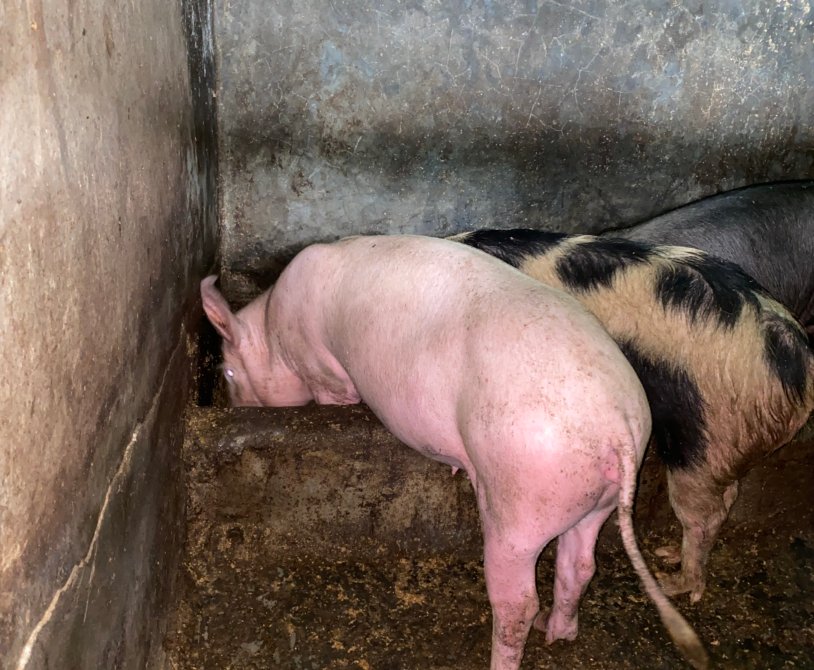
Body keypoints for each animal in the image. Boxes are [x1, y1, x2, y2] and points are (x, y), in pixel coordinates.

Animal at [201, 234, 707, 670]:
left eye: (228, 373)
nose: (233, 404)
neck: (273, 330)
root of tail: (617, 428)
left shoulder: (320, 367)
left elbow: (333, 396)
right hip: (595, 501)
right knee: (580, 565)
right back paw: (557, 633)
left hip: (520, 501)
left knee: (518, 601)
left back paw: (508, 652)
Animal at [452, 228, 814, 605]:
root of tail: (798, 375)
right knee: (726, 496)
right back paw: (668, 555)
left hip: (706, 430)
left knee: (704, 513)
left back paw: (674, 582)